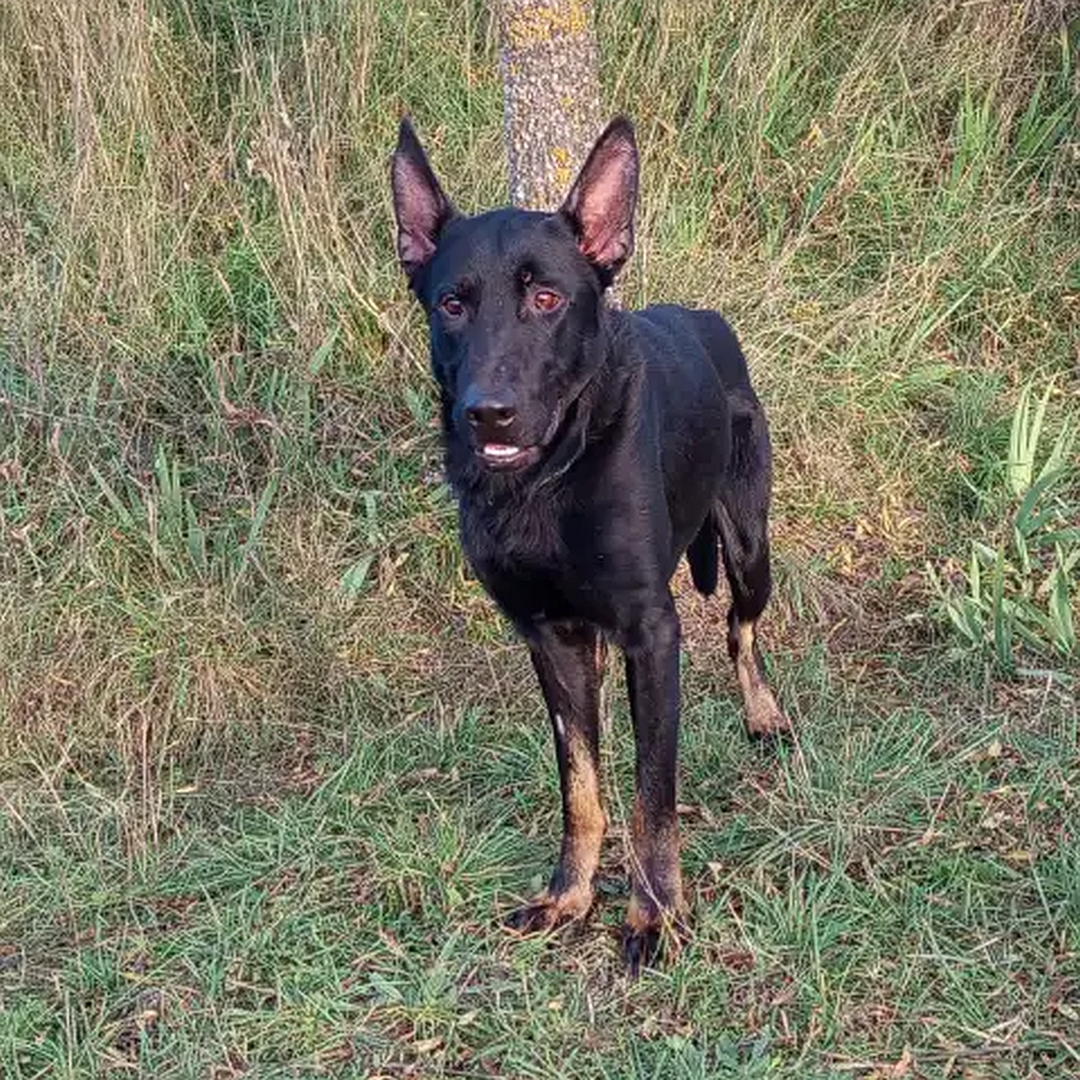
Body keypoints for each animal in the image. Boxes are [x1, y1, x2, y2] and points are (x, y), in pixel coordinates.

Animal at [393, 116, 790, 972]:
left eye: (547, 299)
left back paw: (763, 713)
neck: (547, 481)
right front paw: (570, 895)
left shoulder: (652, 633)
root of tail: (705, 318)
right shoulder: (551, 636)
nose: (488, 413)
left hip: (750, 549)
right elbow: (580, 783)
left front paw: (655, 915)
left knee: (740, 629)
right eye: (451, 304)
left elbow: (651, 793)